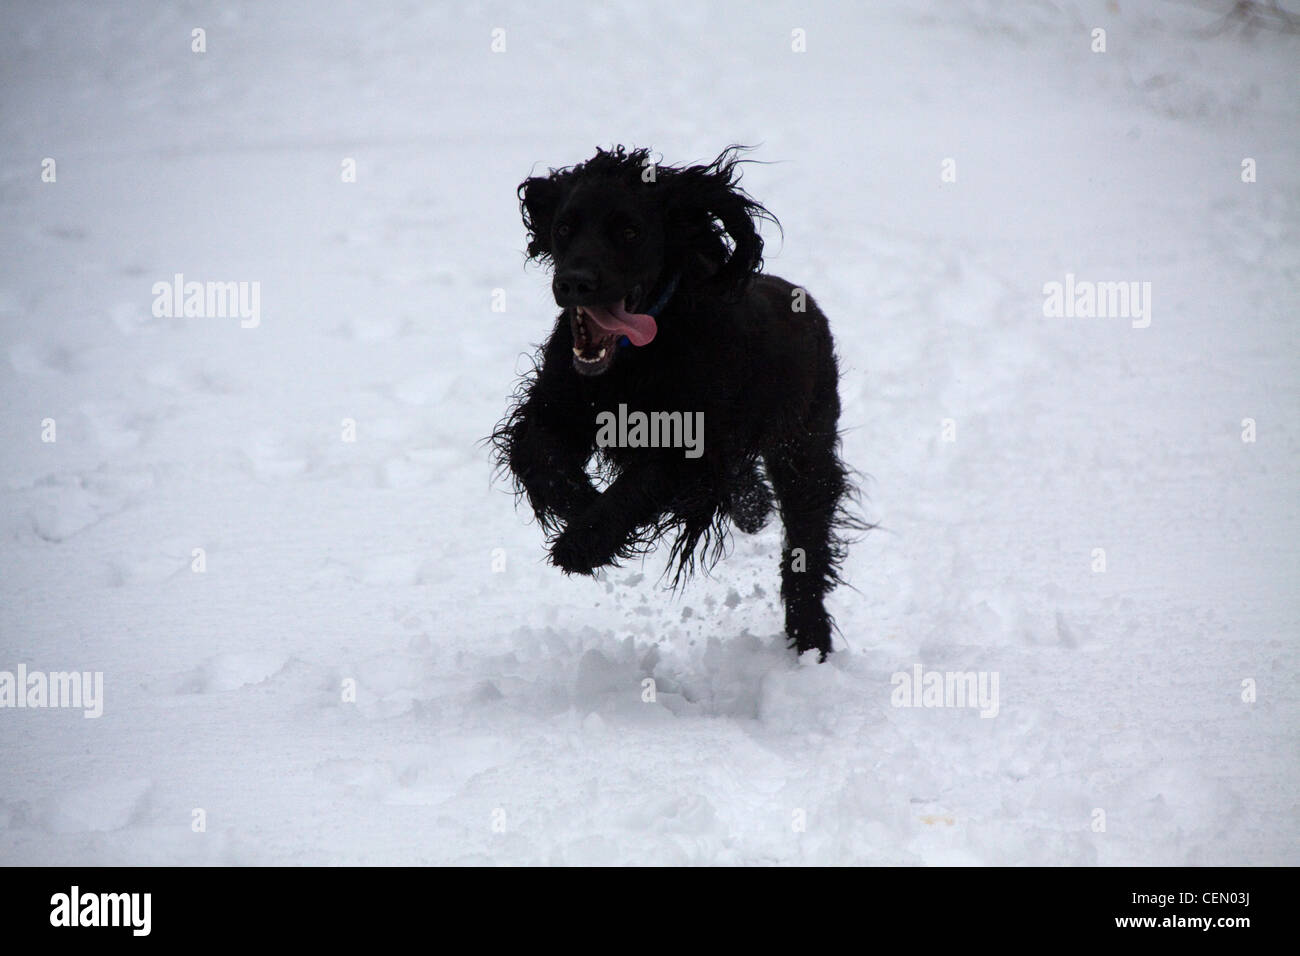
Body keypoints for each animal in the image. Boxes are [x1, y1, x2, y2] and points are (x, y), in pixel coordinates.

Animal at [491, 147, 857, 658]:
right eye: (564, 228)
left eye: (629, 232)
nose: (575, 282)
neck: (636, 356)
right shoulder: (554, 407)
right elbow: (540, 456)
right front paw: (582, 505)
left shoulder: (696, 447)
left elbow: (641, 483)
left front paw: (584, 542)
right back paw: (754, 508)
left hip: (805, 445)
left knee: (807, 539)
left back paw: (810, 639)